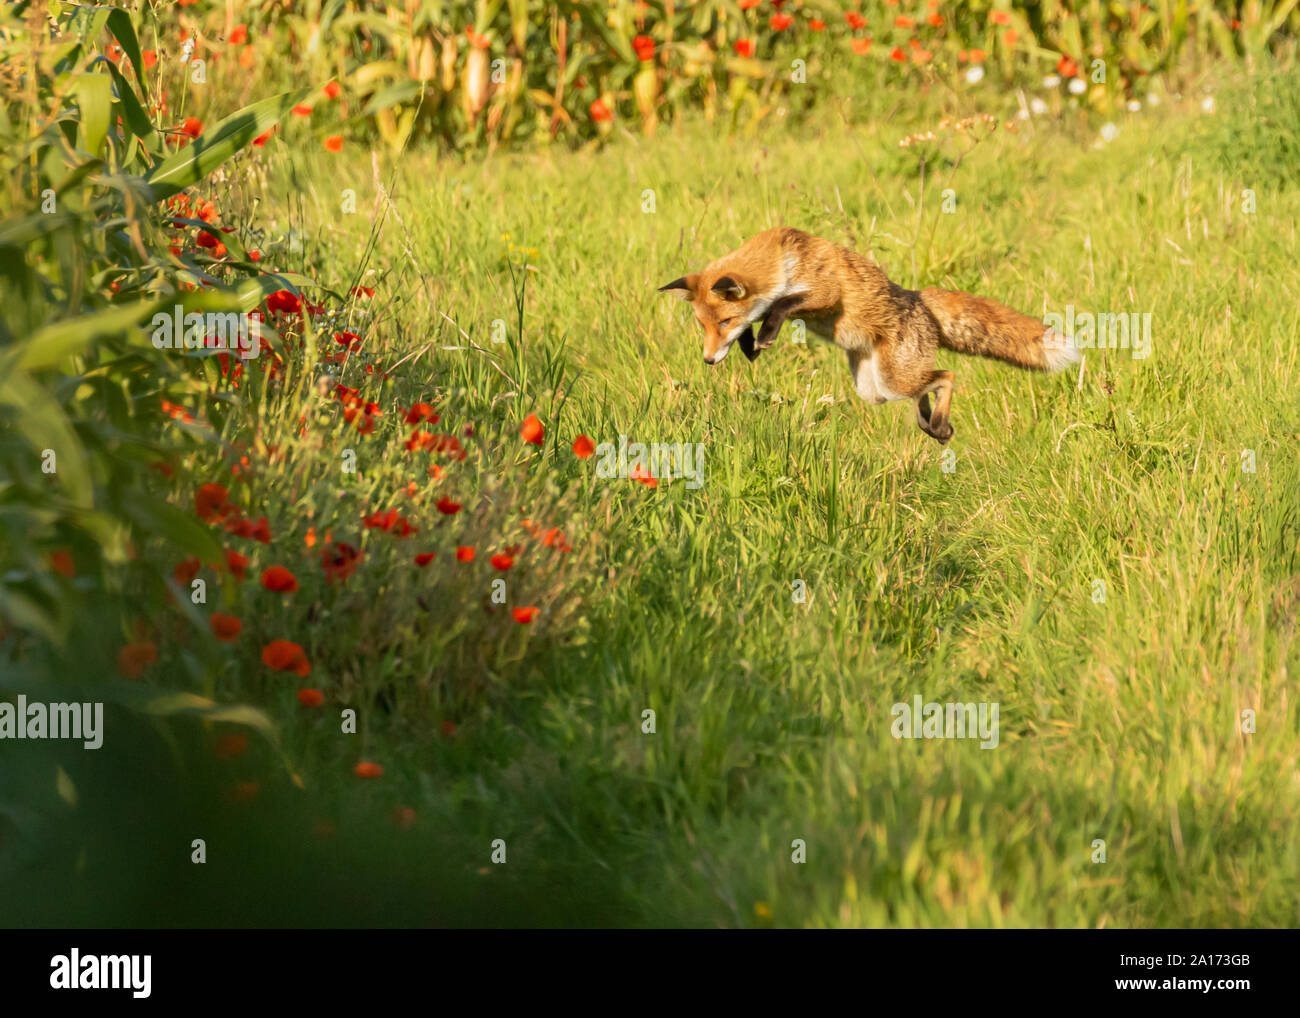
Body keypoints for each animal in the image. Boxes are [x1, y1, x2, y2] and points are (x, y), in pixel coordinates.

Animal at [660, 228, 1076, 444]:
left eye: (724, 321)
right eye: (704, 326)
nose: (708, 360)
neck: (782, 261)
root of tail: (916, 298)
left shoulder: (823, 293)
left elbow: (782, 305)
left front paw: (765, 333)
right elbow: (761, 322)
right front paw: (754, 344)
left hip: (893, 379)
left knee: (947, 376)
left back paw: (939, 424)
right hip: (874, 389)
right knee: (925, 390)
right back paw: (933, 426)